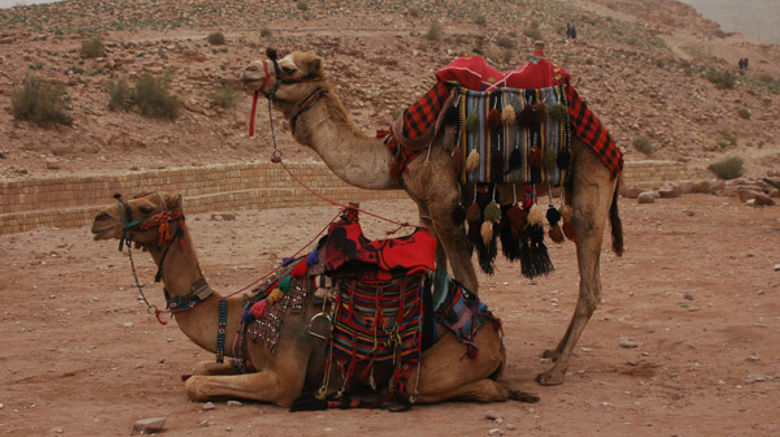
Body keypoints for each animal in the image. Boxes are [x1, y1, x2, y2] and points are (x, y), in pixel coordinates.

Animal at [91, 191, 538, 407]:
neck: (240, 313)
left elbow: (198, 385)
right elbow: (202, 368)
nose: (99, 219)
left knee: (452, 386)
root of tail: (495, 333)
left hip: (446, 361)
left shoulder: (283, 377)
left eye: (146, 206)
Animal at [240, 50, 624, 386]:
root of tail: (614, 149)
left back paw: (555, 372)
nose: (248, 72)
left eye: (288, 68)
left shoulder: (444, 204)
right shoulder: (424, 209)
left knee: (591, 289)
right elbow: (433, 276)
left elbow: (467, 283)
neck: (395, 153)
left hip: (591, 189)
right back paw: (554, 352)